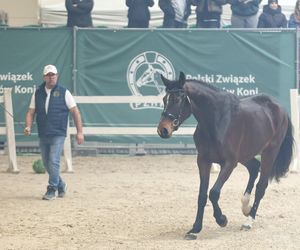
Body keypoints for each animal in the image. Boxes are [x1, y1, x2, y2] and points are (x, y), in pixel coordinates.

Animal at [157, 71, 292, 239]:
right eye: (164, 99)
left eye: (177, 99)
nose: (163, 130)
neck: (216, 120)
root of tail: (279, 106)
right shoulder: (203, 161)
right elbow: (202, 196)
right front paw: (195, 229)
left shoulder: (229, 163)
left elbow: (213, 193)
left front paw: (221, 219)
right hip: (245, 155)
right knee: (254, 168)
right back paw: (245, 206)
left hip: (269, 153)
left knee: (261, 186)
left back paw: (249, 220)